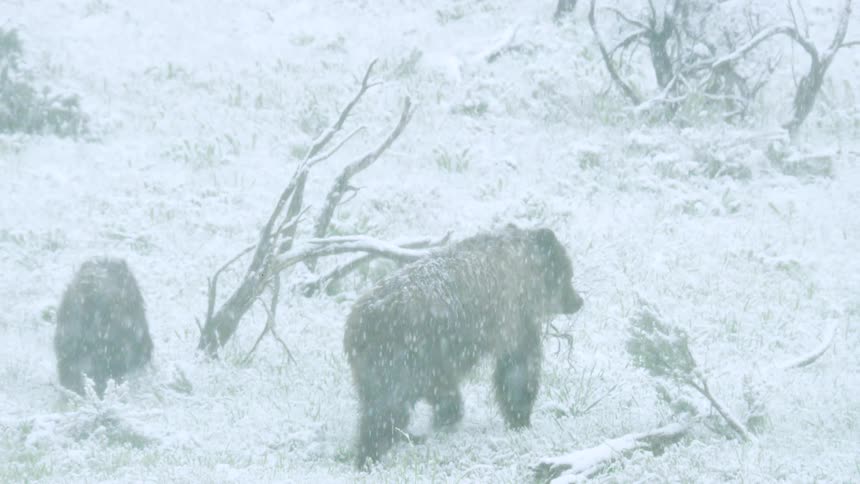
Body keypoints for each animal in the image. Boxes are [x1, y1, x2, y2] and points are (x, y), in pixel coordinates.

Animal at [343, 225, 583, 468]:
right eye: (568, 273)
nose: (578, 301)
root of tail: (357, 323)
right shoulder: (512, 317)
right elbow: (517, 368)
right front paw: (520, 419)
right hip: (399, 355)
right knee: (388, 405)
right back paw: (370, 454)